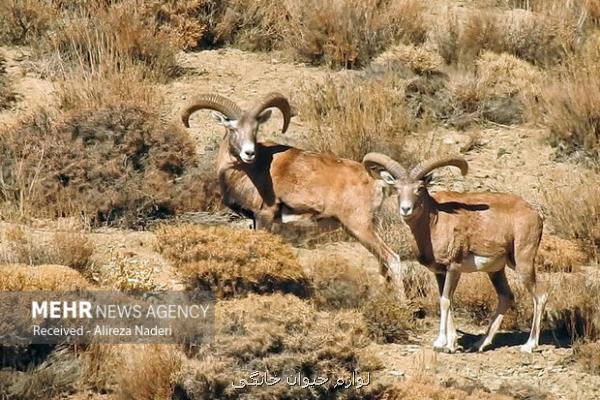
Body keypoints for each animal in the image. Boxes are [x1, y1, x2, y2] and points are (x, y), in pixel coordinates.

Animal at [183, 93, 406, 296]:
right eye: (233, 128)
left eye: (255, 129)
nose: (249, 153)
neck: (248, 171)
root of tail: (377, 182)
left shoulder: (264, 216)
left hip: (360, 227)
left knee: (393, 260)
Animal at [364, 153, 548, 354]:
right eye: (397, 188)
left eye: (420, 188)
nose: (406, 209)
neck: (434, 222)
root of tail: (535, 215)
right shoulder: (440, 273)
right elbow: (447, 301)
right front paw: (452, 344)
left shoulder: (453, 268)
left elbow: (445, 301)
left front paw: (440, 343)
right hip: (496, 270)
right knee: (506, 297)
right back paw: (480, 344)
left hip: (523, 262)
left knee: (540, 296)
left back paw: (529, 345)